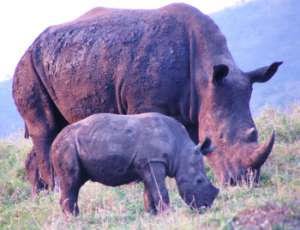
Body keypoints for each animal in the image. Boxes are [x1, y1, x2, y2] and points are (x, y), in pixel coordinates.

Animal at [12, 3, 282, 187]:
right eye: (221, 138)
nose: (243, 182)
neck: (205, 75)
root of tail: (28, 47)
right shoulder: (148, 103)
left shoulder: (195, 105)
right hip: (28, 67)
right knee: (45, 129)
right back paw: (55, 189)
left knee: (56, 127)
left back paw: (41, 193)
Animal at [51, 113, 218, 216]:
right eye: (199, 181)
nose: (205, 207)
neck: (181, 150)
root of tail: (55, 140)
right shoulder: (154, 161)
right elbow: (160, 191)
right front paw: (168, 214)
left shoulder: (147, 164)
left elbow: (149, 191)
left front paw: (152, 215)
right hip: (66, 146)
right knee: (72, 182)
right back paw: (73, 219)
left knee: (75, 184)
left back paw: (75, 217)